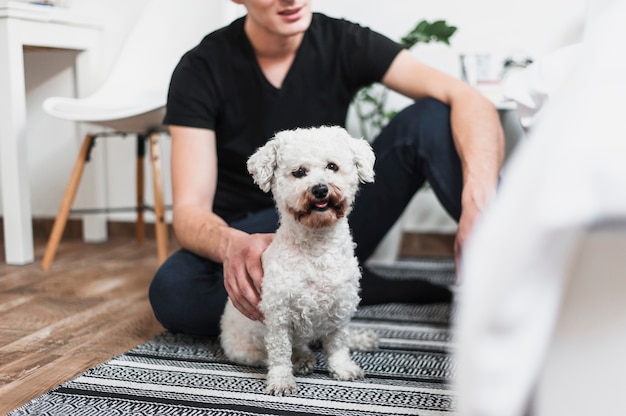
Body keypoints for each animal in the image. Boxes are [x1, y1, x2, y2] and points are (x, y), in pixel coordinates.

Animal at [218, 125, 376, 394]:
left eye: (332, 166)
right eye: (299, 172)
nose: (320, 189)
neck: (317, 250)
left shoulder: (340, 308)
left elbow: (338, 344)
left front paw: (343, 367)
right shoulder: (278, 316)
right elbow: (280, 353)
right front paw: (282, 381)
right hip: (247, 350)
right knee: (286, 350)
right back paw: (302, 359)